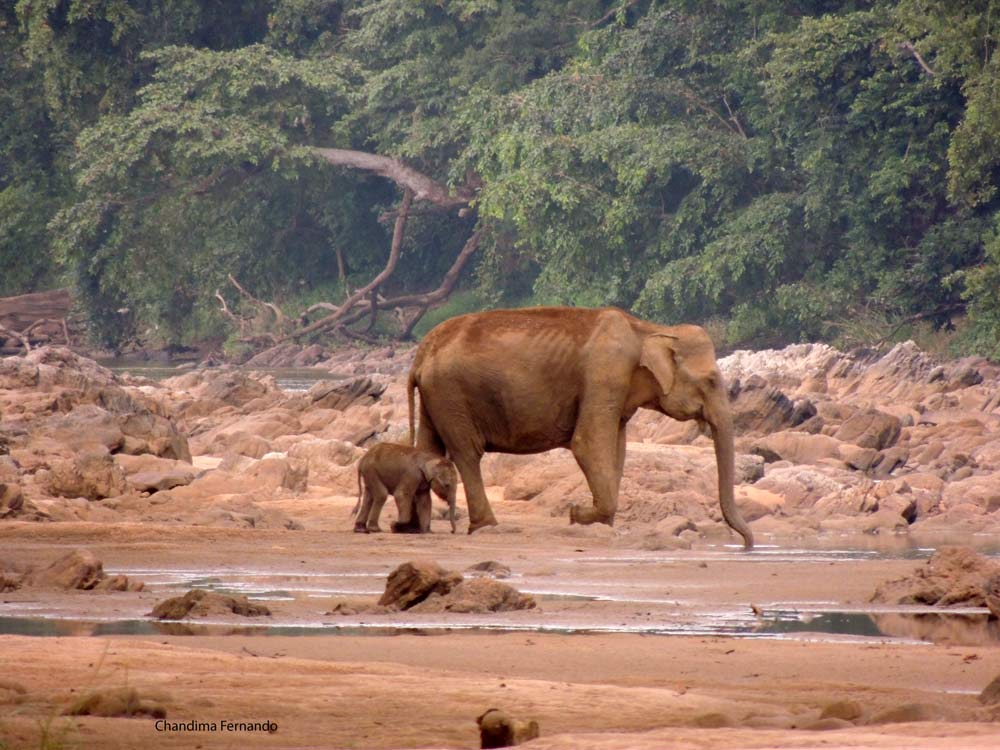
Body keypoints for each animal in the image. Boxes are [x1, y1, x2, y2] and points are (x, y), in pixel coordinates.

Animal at [404, 308, 752, 548]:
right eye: (712, 380)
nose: (748, 545)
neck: (650, 330)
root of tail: (420, 354)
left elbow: (616, 451)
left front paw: (598, 522)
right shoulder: (605, 373)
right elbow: (587, 443)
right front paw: (575, 514)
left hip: (436, 397)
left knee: (430, 447)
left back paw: (414, 527)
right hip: (451, 394)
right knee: (467, 452)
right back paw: (486, 526)